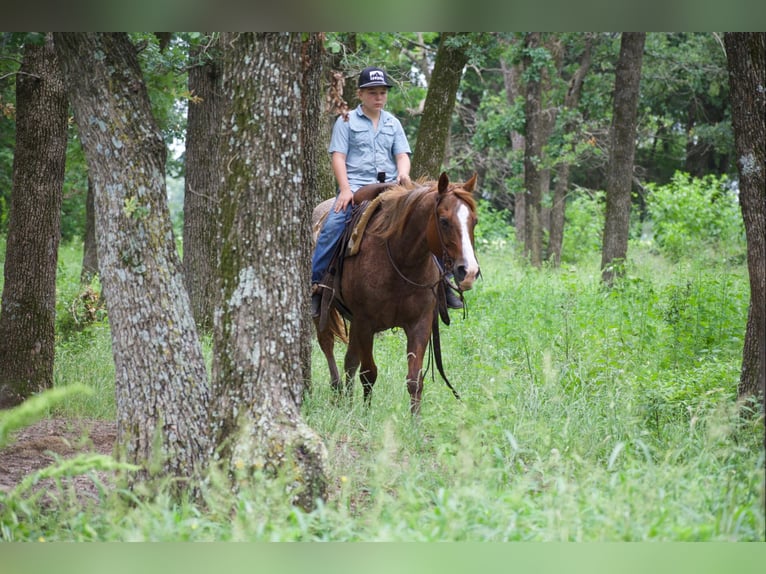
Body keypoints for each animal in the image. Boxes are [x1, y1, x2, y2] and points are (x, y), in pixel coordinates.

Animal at [312, 172, 480, 414]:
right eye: (444, 221)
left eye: (474, 221)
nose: (469, 271)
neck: (401, 260)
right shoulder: (365, 323)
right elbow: (369, 373)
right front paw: (366, 415)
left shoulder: (420, 324)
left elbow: (414, 379)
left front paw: (415, 420)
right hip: (325, 309)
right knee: (328, 344)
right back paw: (337, 391)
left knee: (350, 360)